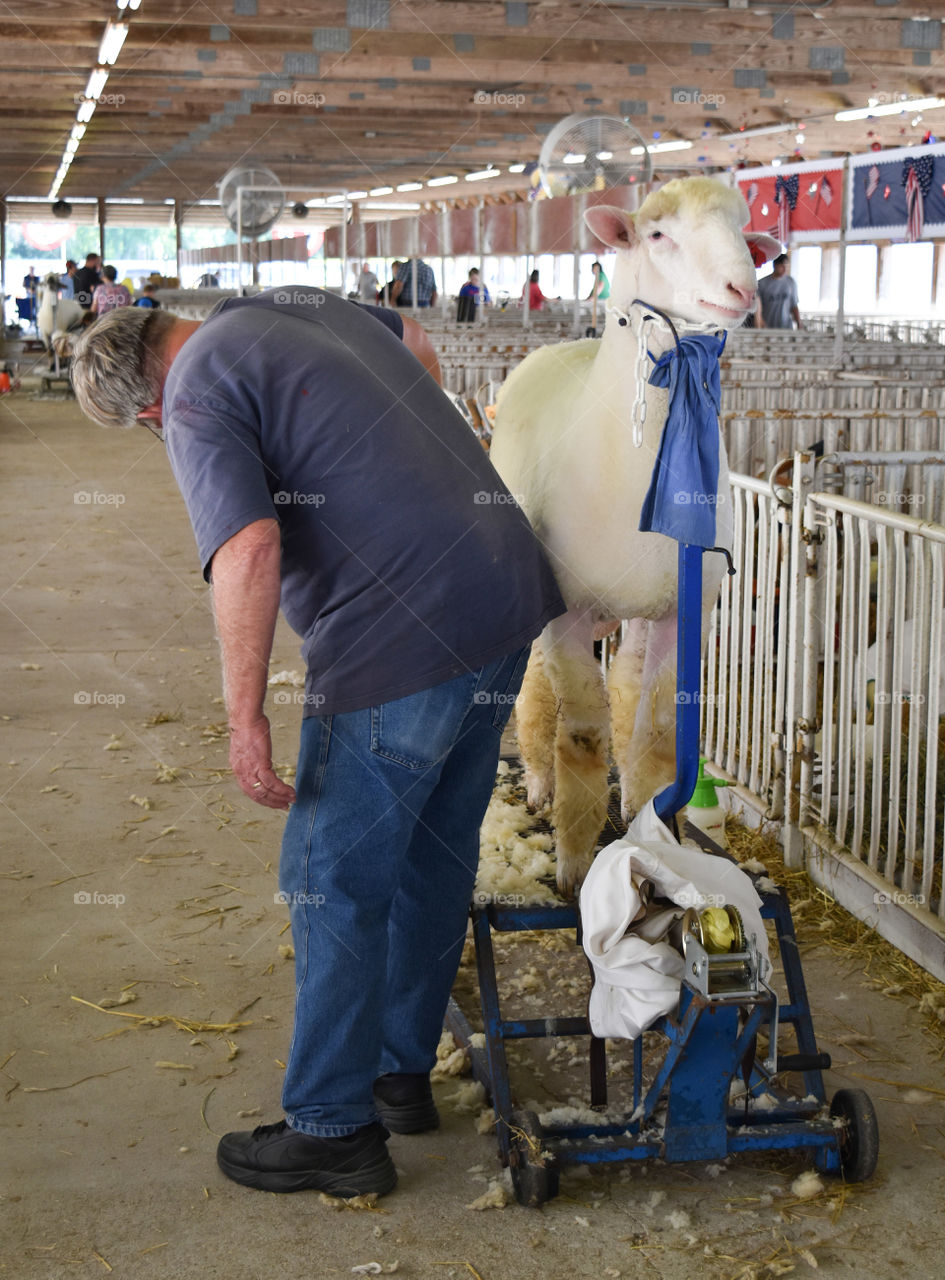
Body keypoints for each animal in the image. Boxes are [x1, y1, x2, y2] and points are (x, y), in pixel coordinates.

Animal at [489, 177, 778, 890]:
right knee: (536, 692)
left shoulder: (683, 610)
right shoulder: (563, 610)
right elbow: (582, 736)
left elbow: (653, 735)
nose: (742, 289)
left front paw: (649, 835)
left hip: (642, 607)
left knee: (624, 686)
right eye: (657, 234)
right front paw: (571, 866)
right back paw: (540, 782)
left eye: (743, 231)